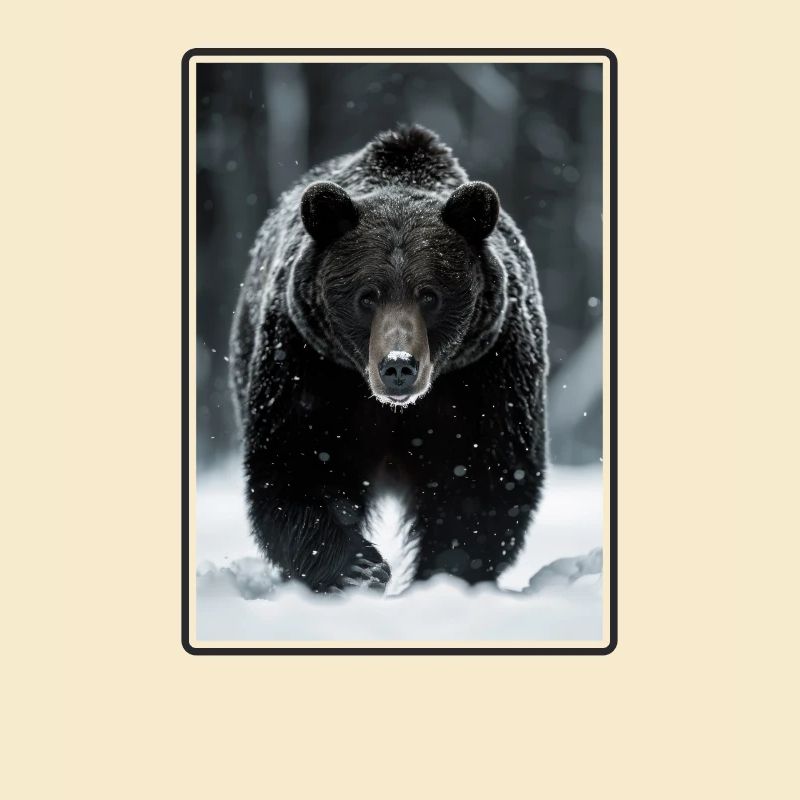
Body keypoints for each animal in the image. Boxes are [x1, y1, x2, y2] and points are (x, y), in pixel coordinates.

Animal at [229, 125, 548, 593]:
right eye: (367, 296)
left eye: (430, 295)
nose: (398, 365)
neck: (398, 410)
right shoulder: (310, 366)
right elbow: (301, 464)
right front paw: (359, 566)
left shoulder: (486, 373)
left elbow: (481, 480)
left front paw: (446, 572)